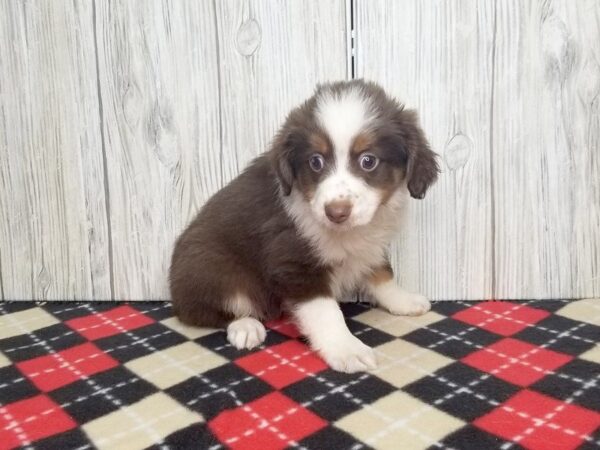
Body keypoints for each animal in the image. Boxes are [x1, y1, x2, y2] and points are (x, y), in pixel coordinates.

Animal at [166, 80, 438, 372]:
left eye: (369, 161)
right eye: (315, 161)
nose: (336, 213)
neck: (344, 233)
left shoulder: (369, 246)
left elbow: (382, 274)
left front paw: (403, 300)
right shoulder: (294, 263)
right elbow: (326, 312)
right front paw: (346, 348)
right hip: (213, 269)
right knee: (205, 311)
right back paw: (246, 326)